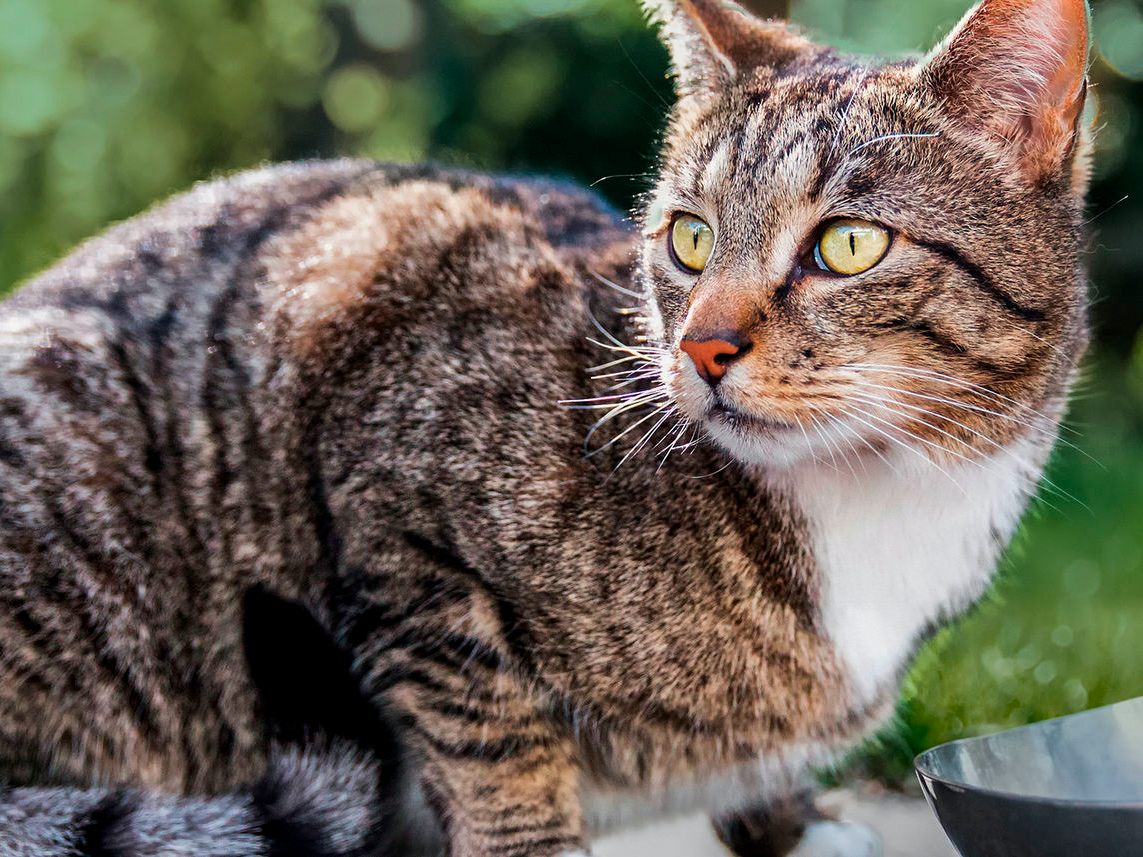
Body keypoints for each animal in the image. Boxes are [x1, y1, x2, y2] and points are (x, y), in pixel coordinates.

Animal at [0, 0, 1088, 854]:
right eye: (690, 239)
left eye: (849, 245)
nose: (701, 347)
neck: (876, 501)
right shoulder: (387, 470)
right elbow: (493, 745)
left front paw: (789, 823)